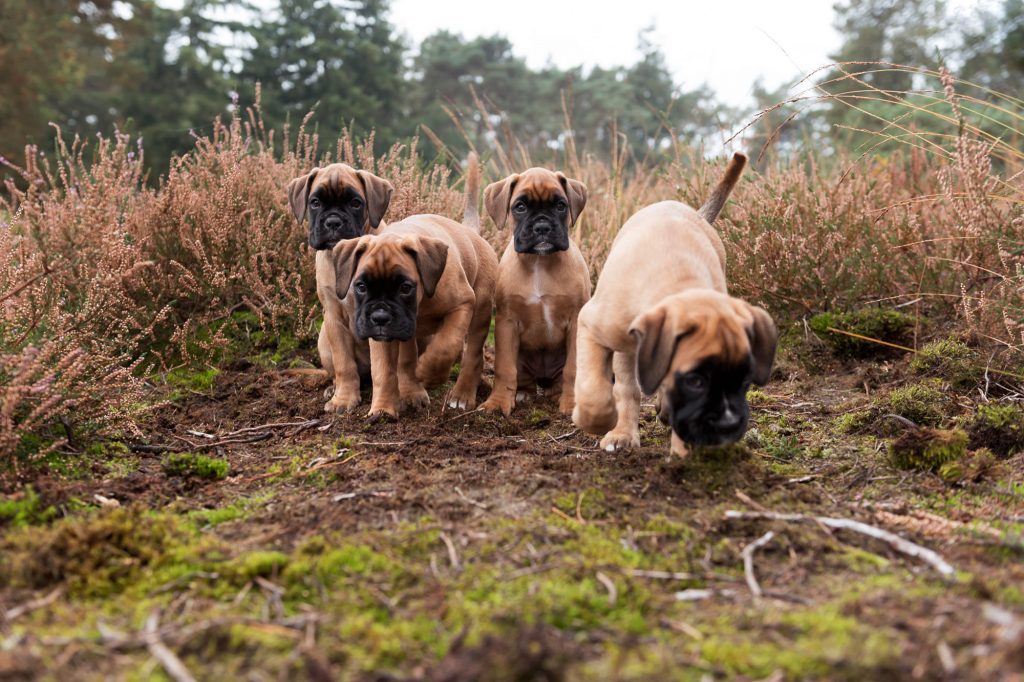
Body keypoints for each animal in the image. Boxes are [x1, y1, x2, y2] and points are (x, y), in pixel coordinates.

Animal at [286, 161, 393, 411]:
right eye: (315, 202)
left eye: (355, 203)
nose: (333, 222)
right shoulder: (334, 317)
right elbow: (344, 364)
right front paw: (344, 399)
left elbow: (383, 367)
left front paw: (382, 407)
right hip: (324, 341)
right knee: (337, 371)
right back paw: (333, 388)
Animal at [331, 155, 499, 417]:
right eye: (360, 286)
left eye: (405, 287)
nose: (380, 316)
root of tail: (470, 233)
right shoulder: (384, 336)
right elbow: (383, 370)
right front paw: (382, 408)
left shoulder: (462, 305)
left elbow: (446, 346)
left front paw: (429, 372)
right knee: (407, 356)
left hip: (480, 311)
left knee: (473, 354)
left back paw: (461, 395)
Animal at [479, 168, 593, 413]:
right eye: (520, 206)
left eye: (560, 205)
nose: (542, 227)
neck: (539, 262)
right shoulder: (507, 322)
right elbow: (504, 368)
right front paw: (498, 402)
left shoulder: (575, 321)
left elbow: (572, 369)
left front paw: (571, 403)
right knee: (523, 380)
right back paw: (523, 394)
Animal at [573, 153, 778, 456]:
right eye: (695, 382)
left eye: (743, 381)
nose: (725, 427)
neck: (679, 284)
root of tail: (696, 213)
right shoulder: (590, 325)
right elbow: (596, 389)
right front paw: (595, 419)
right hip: (623, 346)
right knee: (627, 386)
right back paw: (623, 432)